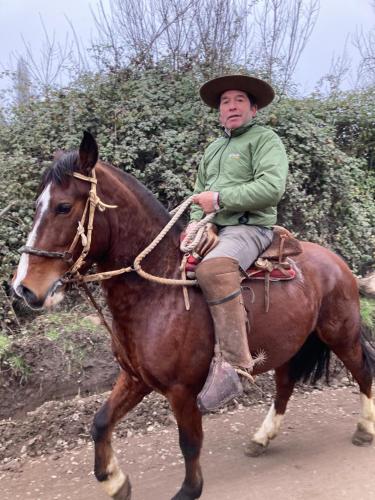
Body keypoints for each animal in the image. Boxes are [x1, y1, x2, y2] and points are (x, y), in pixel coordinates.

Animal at [12, 134, 375, 500]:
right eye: (36, 206)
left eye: (63, 207)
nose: (23, 288)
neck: (157, 292)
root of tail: (336, 261)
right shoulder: (135, 378)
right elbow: (100, 422)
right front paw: (114, 481)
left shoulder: (182, 389)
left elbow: (189, 441)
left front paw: (189, 489)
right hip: (289, 344)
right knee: (285, 384)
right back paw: (262, 438)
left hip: (341, 334)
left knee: (362, 371)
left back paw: (365, 427)